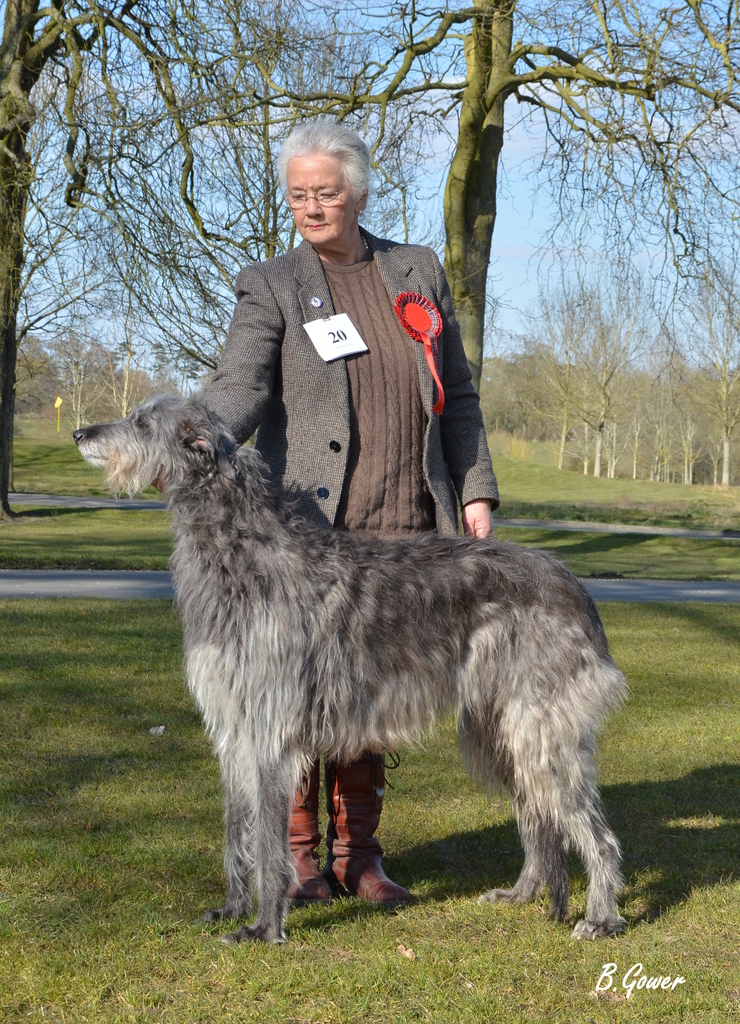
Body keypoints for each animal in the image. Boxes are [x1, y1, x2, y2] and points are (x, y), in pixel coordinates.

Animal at [75, 393, 626, 942]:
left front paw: (264, 927)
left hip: (540, 729)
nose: (80, 434)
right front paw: (232, 909)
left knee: (591, 830)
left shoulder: (270, 728)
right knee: (539, 817)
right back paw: (523, 894)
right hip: (499, 732)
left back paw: (601, 916)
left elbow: (269, 842)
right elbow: (237, 828)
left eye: (142, 423)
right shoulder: (234, 726)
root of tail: (577, 588)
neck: (242, 548)